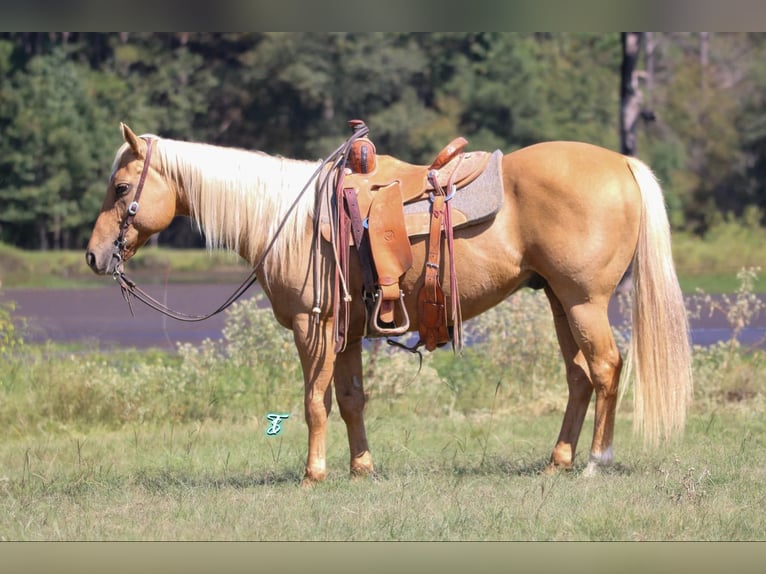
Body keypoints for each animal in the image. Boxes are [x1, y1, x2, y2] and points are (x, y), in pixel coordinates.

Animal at [87, 125, 692, 486]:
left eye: (121, 189)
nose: (94, 255)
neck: (290, 218)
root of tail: (622, 164)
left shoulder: (312, 326)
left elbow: (314, 402)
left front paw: (313, 473)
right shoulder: (349, 332)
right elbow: (352, 400)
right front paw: (361, 468)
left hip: (585, 301)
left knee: (607, 368)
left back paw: (594, 462)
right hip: (560, 303)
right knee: (580, 377)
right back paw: (558, 461)